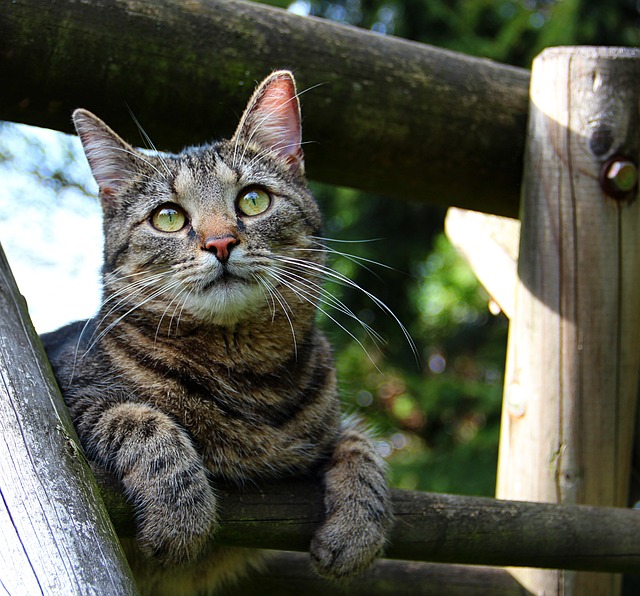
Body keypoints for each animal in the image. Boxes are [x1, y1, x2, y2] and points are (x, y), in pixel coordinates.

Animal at [42, 70, 392, 592]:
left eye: (253, 199)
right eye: (167, 216)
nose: (221, 242)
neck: (246, 375)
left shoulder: (333, 428)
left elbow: (360, 443)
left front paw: (358, 527)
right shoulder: (66, 392)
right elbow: (140, 419)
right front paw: (180, 510)